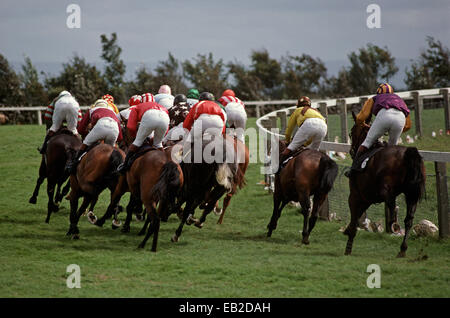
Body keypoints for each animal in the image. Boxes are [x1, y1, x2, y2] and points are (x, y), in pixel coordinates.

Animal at [344, 113, 426, 258]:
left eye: (352, 132)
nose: (352, 151)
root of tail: (408, 153)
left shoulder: (355, 196)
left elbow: (355, 217)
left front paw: (348, 246)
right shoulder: (367, 198)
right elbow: (358, 215)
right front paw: (348, 230)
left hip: (387, 189)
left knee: (390, 200)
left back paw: (393, 223)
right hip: (412, 194)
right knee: (408, 220)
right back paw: (402, 248)